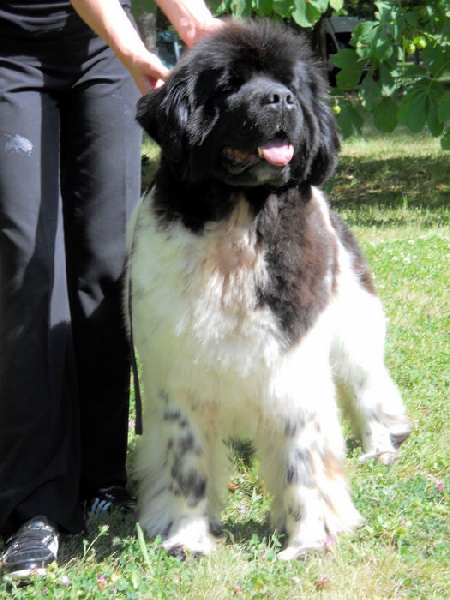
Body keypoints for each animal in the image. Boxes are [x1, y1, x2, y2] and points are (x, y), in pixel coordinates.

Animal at [125, 19, 410, 564]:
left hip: (353, 332)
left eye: (291, 84)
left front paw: (309, 541)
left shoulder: (294, 370)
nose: (279, 100)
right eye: (229, 85)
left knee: (366, 385)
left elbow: (302, 461)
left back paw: (381, 445)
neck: (240, 221)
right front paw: (187, 538)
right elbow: (187, 464)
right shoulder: (177, 372)